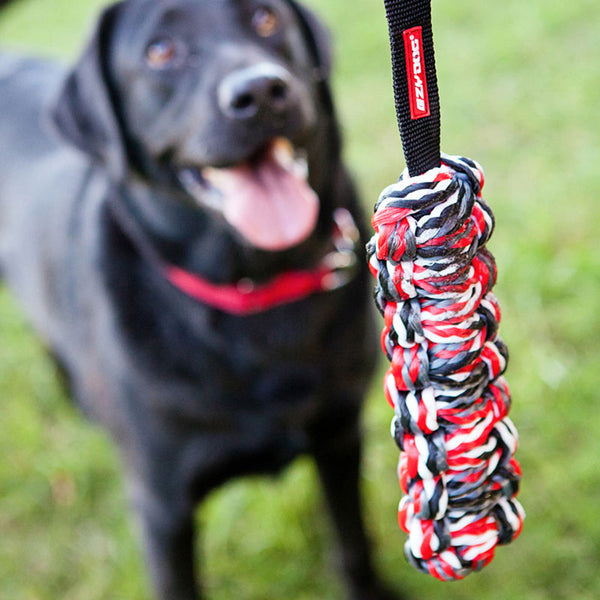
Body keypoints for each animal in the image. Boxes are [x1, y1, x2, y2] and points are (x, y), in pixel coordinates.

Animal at [2, 1, 400, 600]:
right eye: (160, 50)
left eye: (266, 20)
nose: (260, 91)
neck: (256, 290)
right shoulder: (163, 507)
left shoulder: (338, 436)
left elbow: (352, 541)